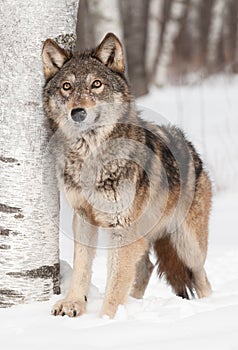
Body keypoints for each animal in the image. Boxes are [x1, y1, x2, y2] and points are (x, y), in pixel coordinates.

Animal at [41, 33, 211, 320]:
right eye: (66, 87)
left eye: (96, 84)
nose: (78, 112)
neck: (91, 156)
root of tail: (190, 148)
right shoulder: (84, 219)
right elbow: (83, 268)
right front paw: (73, 304)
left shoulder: (122, 226)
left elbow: (115, 280)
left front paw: (105, 320)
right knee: (146, 268)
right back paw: (133, 306)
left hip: (187, 245)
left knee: (202, 277)